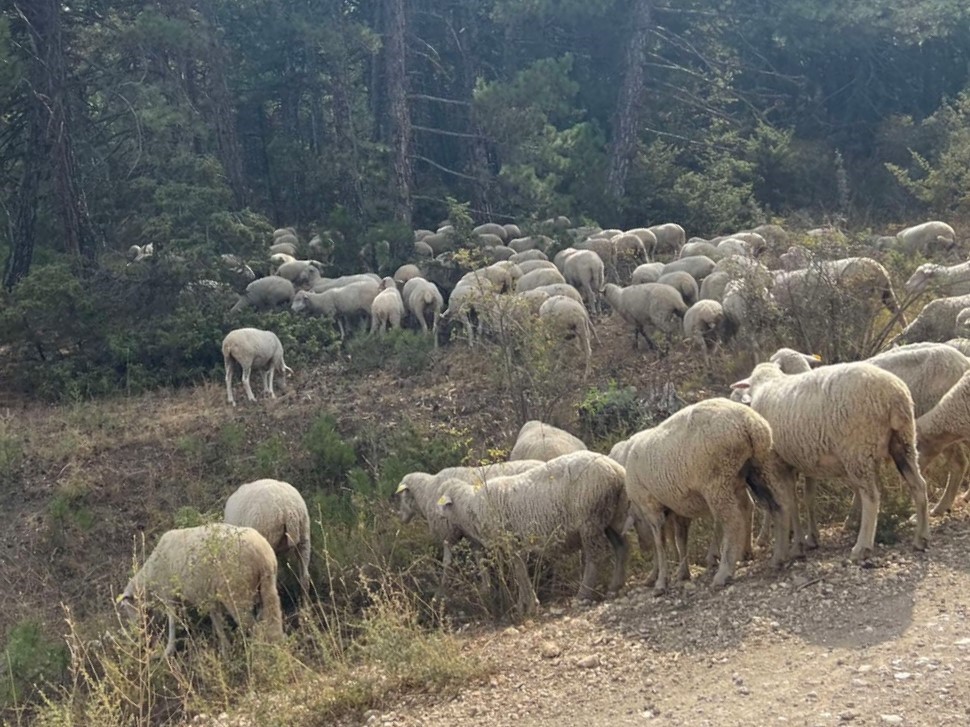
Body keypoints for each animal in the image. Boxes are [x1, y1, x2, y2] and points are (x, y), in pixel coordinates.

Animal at [116, 520, 284, 656]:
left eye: (128, 609)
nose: (139, 634)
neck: (150, 576)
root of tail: (263, 556)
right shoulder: (208, 597)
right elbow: (216, 621)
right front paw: (225, 649)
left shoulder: (169, 595)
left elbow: (172, 622)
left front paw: (168, 650)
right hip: (266, 588)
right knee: (268, 622)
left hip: (237, 594)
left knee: (256, 630)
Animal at [394, 464, 544, 596]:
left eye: (402, 496)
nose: (401, 518)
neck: (427, 492)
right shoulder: (471, 534)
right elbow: (479, 558)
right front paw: (486, 587)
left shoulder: (448, 534)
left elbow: (446, 562)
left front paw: (441, 589)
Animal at [434, 456, 632, 616]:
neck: (471, 507)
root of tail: (616, 470)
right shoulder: (516, 546)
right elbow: (519, 572)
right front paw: (524, 604)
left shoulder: (512, 542)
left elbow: (520, 573)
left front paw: (529, 606)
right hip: (613, 516)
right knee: (622, 546)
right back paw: (615, 586)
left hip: (589, 518)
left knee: (595, 557)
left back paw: (583, 594)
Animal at [624, 400, 792, 596]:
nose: (642, 549)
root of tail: (749, 422)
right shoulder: (678, 506)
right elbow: (681, 539)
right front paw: (682, 573)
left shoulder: (651, 505)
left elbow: (661, 543)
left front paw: (661, 582)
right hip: (758, 466)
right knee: (778, 504)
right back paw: (778, 557)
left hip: (717, 479)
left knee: (733, 521)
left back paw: (724, 573)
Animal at [732, 362, 932, 560]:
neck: (766, 383)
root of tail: (894, 394)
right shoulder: (798, 462)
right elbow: (800, 500)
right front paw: (805, 541)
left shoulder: (777, 461)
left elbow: (790, 502)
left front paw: (798, 545)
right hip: (903, 440)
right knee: (919, 485)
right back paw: (921, 538)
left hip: (857, 448)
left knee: (872, 497)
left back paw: (862, 548)